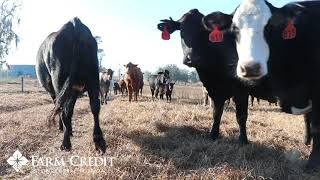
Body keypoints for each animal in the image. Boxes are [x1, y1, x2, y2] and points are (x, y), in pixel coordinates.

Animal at [35, 16, 106, 153]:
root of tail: (73, 23)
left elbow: (60, 107)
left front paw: (63, 128)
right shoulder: (74, 91)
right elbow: (71, 108)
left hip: (59, 81)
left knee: (63, 109)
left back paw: (65, 143)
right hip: (92, 77)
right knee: (94, 105)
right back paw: (99, 140)